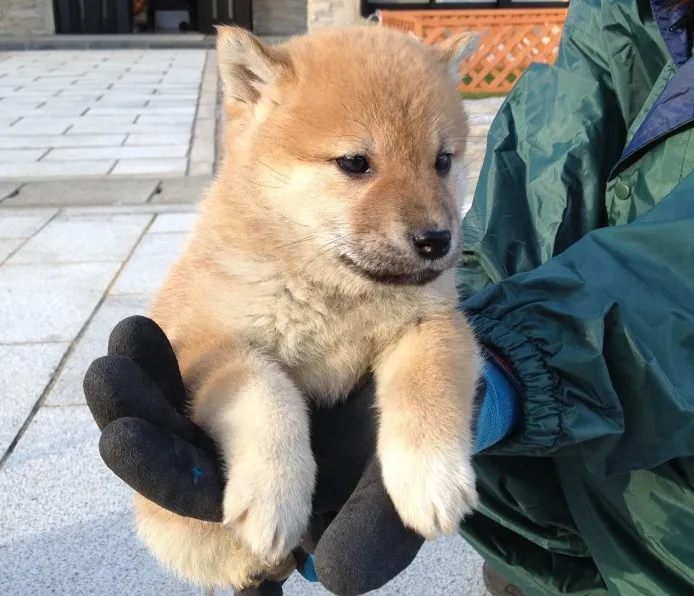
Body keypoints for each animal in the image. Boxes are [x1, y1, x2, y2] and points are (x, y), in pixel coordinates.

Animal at [136, 24, 484, 592]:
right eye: (355, 163)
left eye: (443, 162)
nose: (437, 240)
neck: (332, 294)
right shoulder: (210, 346)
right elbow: (268, 395)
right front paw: (273, 497)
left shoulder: (432, 324)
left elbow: (426, 386)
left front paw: (431, 478)